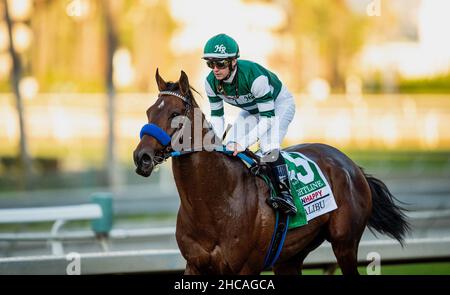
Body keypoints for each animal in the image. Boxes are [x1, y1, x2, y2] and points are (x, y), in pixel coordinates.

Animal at [132, 69, 410, 276]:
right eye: (148, 111)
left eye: (175, 114)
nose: (141, 157)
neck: (214, 202)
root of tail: (352, 166)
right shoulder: (195, 266)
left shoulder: (245, 267)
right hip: (290, 258)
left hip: (345, 244)